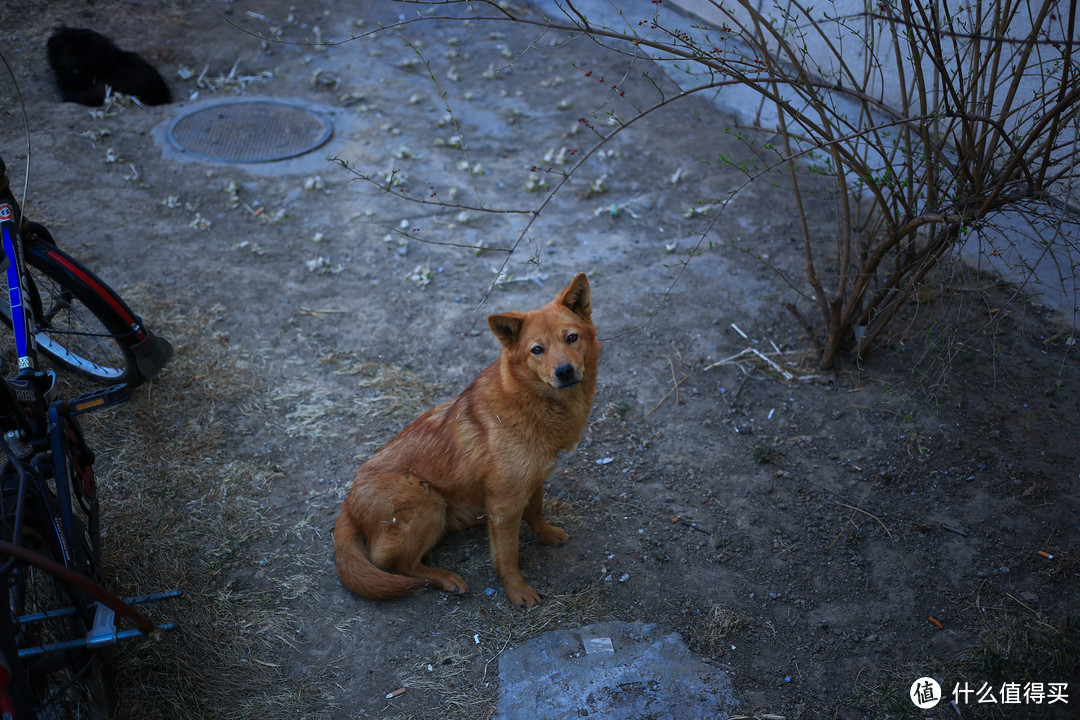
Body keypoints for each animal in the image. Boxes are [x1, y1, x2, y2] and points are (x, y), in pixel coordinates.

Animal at [332, 273, 600, 604]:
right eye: (537, 350)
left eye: (572, 338)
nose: (564, 371)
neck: (534, 401)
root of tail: (348, 502)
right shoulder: (505, 504)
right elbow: (507, 555)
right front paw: (517, 591)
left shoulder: (533, 479)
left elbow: (536, 512)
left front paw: (548, 536)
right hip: (427, 501)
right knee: (399, 565)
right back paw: (444, 578)